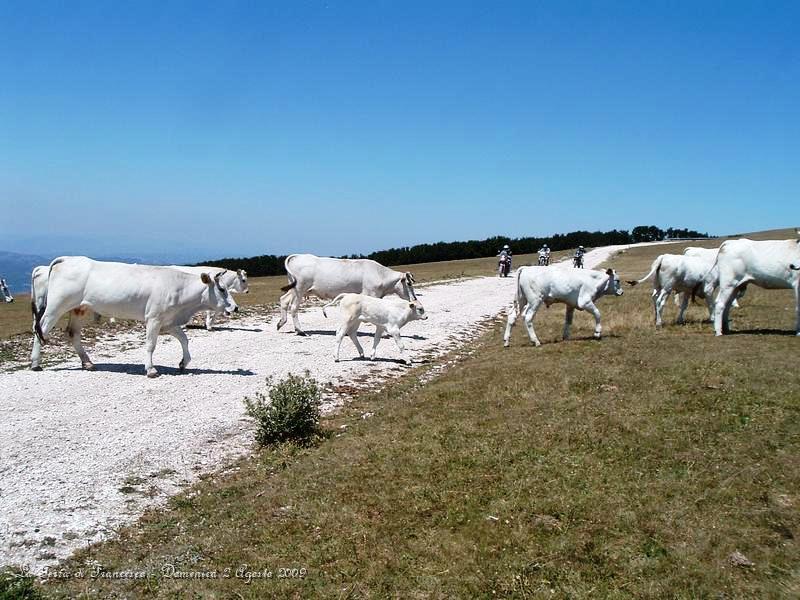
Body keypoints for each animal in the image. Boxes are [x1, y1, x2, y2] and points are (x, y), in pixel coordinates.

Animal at [31, 255, 238, 378]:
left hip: (79, 309)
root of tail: (68, 259)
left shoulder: (169, 321)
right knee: (41, 328)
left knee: (73, 333)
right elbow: (151, 345)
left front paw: (183, 362)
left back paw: (87, 362)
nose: (235, 307)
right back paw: (35, 363)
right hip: (56, 306)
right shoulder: (154, 318)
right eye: (221, 288)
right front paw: (151, 369)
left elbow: (184, 339)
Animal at [276, 253, 416, 336]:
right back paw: (300, 331)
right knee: (294, 308)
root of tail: (298, 256)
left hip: (293, 289)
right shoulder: (371, 294)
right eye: (409, 283)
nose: (414, 299)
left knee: (283, 300)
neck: (380, 274)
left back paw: (281, 323)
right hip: (299, 289)